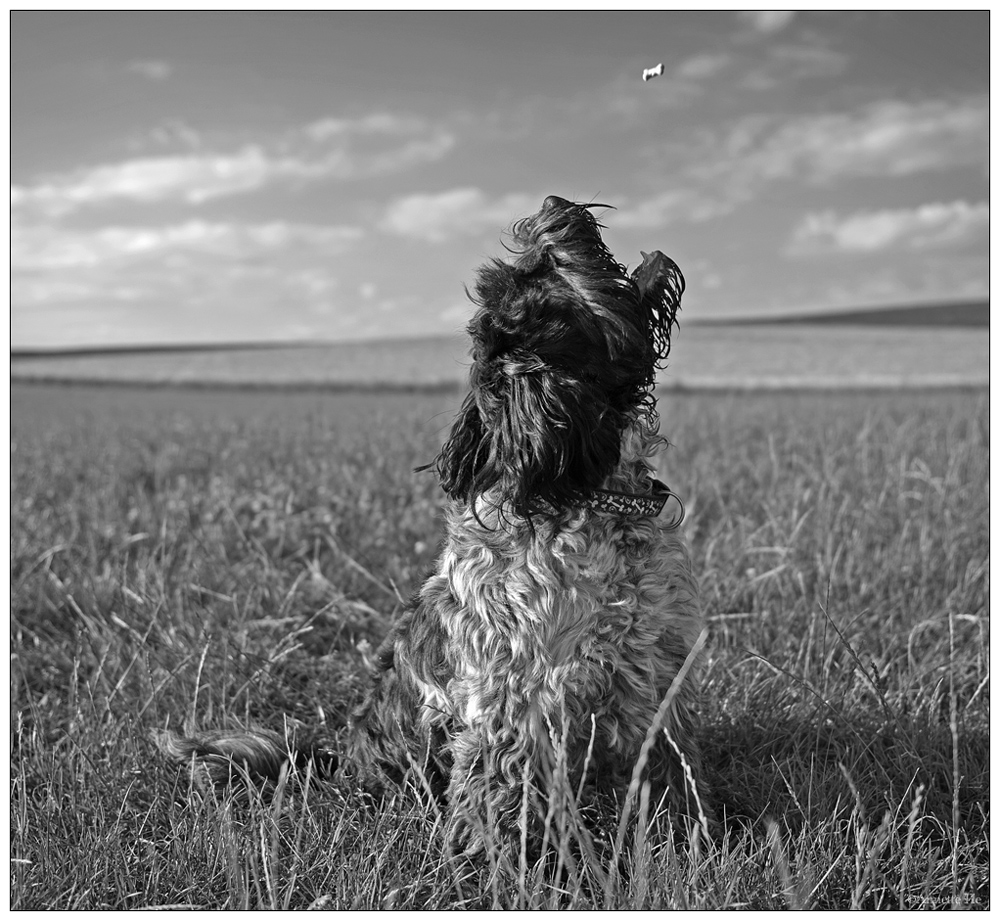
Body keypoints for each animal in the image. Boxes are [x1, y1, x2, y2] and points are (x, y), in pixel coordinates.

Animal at [158, 198, 712, 844]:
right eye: (546, 267)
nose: (553, 207)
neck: (592, 500)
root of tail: (341, 763)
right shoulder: (516, 699)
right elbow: (498, 792)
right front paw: (502, 860)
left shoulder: (656, 675)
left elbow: (670, 771)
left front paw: (689, 837)